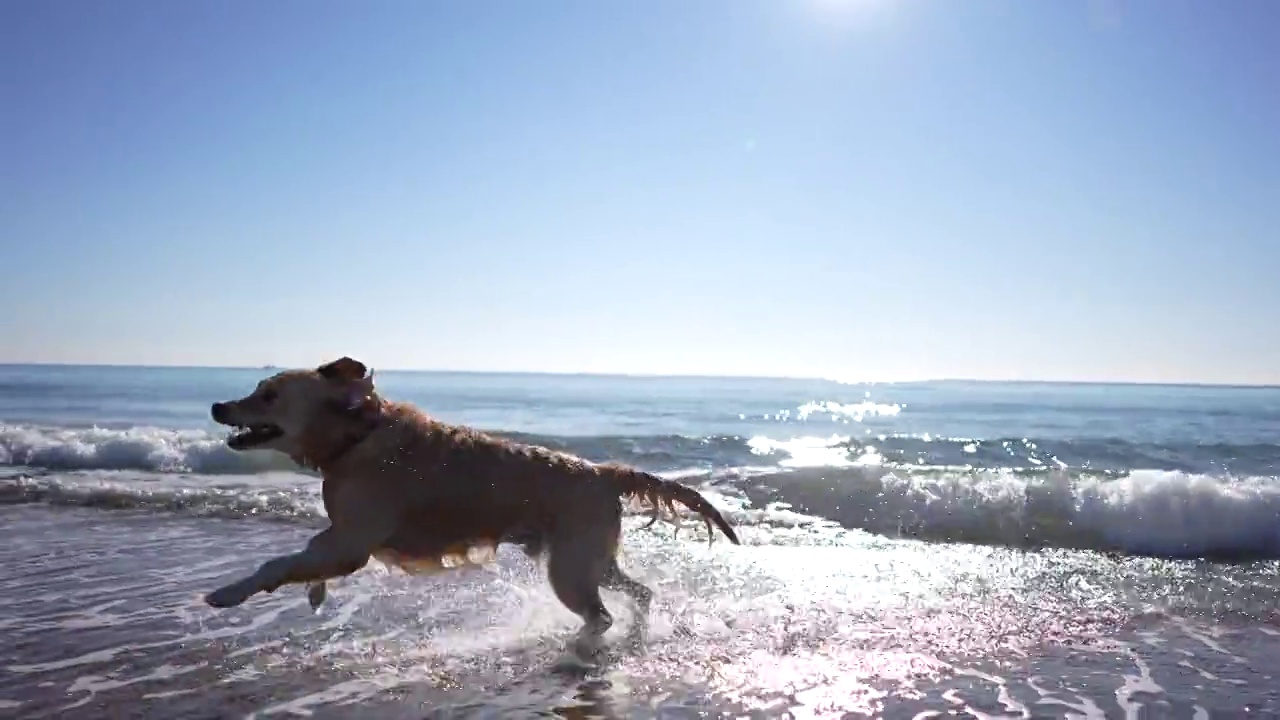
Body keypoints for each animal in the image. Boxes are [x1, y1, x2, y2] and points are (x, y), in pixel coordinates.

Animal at [202, 356, 742, 653]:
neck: (355, 437)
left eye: (269, 395)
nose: (216, 406)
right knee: (639, 592)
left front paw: (228, 593)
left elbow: (277, 564)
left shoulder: (351, 542)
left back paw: (585, 642)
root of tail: (601, 471)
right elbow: (307, 554)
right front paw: (314, 592)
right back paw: (632, 632)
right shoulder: (341, 538)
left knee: (600, 614)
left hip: (569, 568)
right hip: (590, 559)